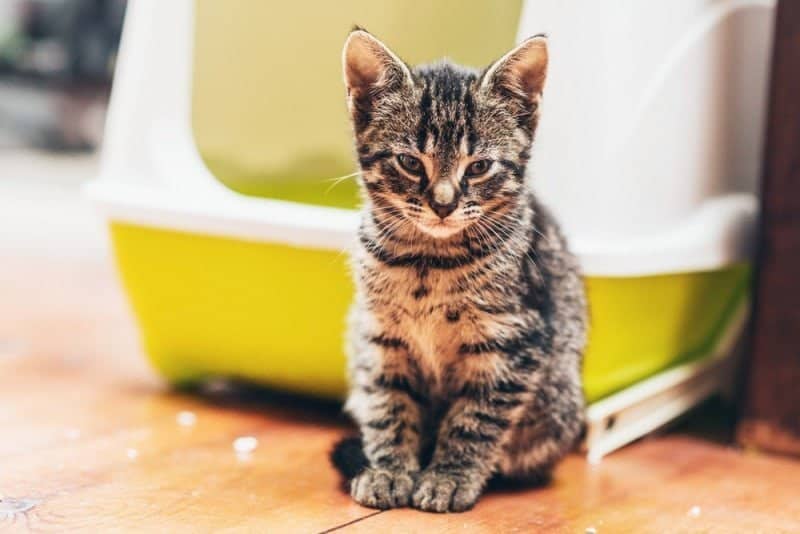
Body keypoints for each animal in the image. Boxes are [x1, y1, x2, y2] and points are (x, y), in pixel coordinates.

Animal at [332, 29, 588, 516]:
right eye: (411, 163)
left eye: (480, 166)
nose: (444, 204)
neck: (427, 262)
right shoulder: (380, 338)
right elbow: (389, 406)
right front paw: (390, 470)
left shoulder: (512, 342)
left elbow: (475, 419)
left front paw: (449, 477)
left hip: (557, 404)